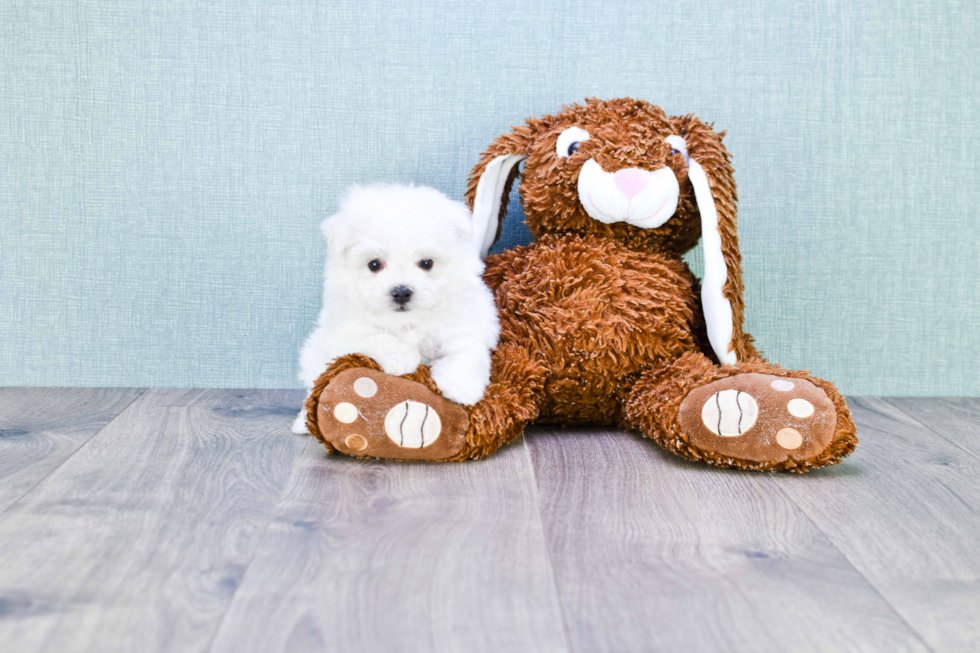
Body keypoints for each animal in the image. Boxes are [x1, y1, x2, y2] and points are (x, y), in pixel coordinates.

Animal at [290, 182, 498, 432]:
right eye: (374, 264)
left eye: (426, 263)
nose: (401, 292)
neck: (407, 321)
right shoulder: (344, 333)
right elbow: (377, 337)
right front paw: (403, 359)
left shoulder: (463, 326)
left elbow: (467, 354)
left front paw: (461, 388)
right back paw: (302, 422)